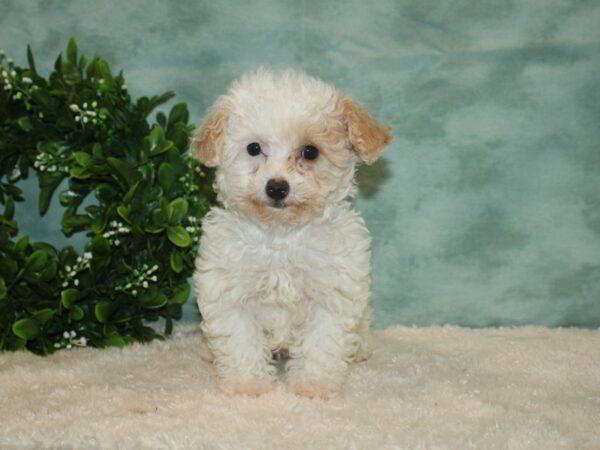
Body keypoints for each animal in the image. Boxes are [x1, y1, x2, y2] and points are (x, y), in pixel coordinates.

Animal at [190, 67, 392, 398]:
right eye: (254, 148)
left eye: (310, 152)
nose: (276, 187)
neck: (281, 235)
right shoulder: (230, 293)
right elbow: (240, 341)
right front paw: (247, 385)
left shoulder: (332, 294)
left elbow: (322, 343)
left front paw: (314, 386)